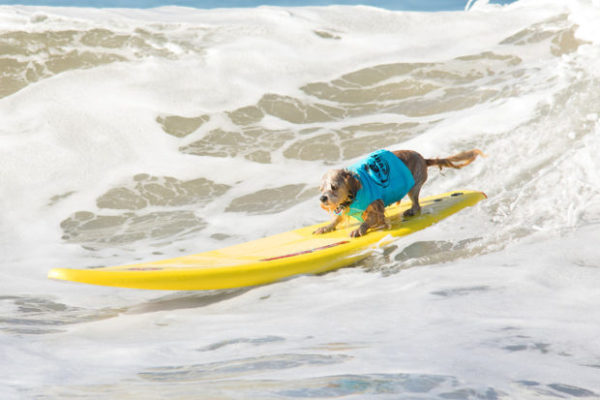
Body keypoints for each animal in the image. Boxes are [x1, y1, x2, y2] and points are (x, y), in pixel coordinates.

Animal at [314, 149, 482, 238]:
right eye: (321, 189)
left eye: (334, 187)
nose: (323, 198)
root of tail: (423, 158)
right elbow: (336, 219)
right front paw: (326, 227)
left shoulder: (377, 208)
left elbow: (369, 220)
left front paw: (358, 229)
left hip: (414, 186)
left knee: (417, 204)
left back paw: (411, 210)